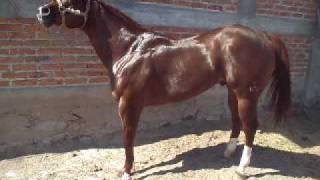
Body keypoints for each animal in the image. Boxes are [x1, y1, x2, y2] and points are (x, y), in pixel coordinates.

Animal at [37, 0, 290, 179]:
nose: (42, 11)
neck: (129, 50)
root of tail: (265, 36)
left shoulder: (129, 105)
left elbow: (128, 138)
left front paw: (126, 171)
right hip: (232, 92)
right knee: (237, 121)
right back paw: (228, 153)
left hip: (246, 94)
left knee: (250, 126)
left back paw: (242, 168)